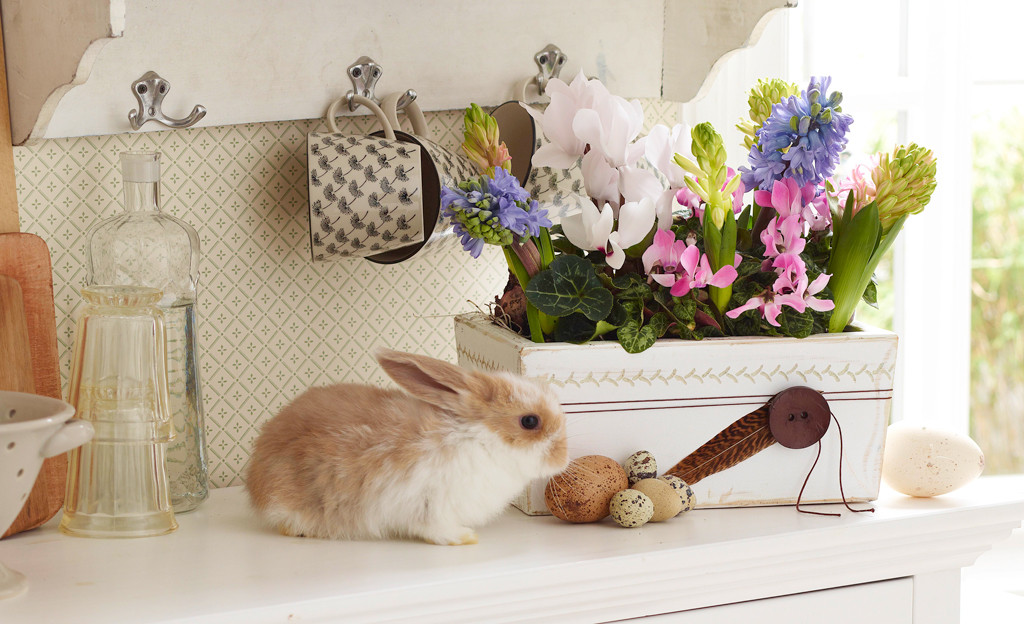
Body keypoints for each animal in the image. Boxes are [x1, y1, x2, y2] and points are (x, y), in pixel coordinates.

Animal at [244, 348, 573, 541]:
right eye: (529, 421)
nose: (563, 458)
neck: (477, 437)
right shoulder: (430, 503)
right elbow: (435, 529)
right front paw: (464, 537)